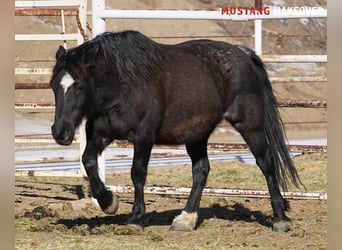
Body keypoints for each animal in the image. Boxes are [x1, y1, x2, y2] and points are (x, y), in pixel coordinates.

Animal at [50, 30, 302, 232]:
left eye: (79, 86)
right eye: (54, 86)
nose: (60, 132)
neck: (121, 85)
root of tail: (243, 53)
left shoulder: (144, 136)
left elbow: (137, 173)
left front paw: (136, 218)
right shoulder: (101, 135)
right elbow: (88, 162)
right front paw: (108, 201)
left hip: (250, 125)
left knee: (266, 163)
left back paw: (280, 219)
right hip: (197, 134)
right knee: (201, 171)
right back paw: (185, 219)